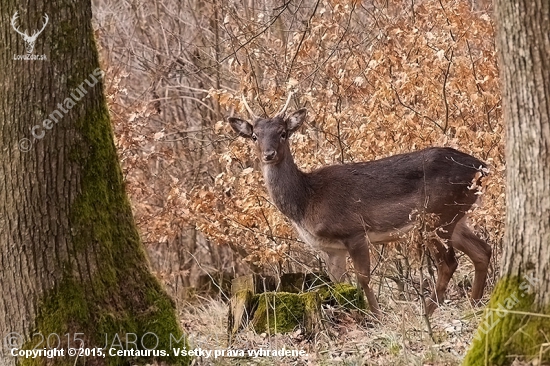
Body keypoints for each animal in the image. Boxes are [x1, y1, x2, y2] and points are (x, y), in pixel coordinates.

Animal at [226, 93, 494, 318]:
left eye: (283, 133)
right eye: (255, 136)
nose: (268, 154)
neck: (307, 202)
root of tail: (482, 167)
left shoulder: (354, 230)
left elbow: (363, 278)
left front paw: (375, 317)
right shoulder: (332, 249)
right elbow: (339, 283)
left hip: (438, 214)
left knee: (449, 263)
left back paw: (426, 313)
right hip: (457, 216)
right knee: (482, 251)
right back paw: (474, 306)